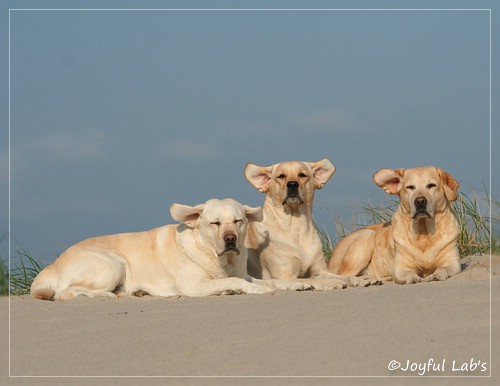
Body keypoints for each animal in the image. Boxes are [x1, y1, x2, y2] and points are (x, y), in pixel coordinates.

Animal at [30, 198, 308, 300]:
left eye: (238, 221)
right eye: (215, 223)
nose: (230, 239)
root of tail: (51, 266)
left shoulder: (243, 273)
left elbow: (271, 281)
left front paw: (295, 285)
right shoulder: (193, 285)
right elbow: (240, 283)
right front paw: (249, 290)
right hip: (112, 262)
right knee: (65, 293)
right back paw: (105, 296)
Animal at [244, 159, 350, 290]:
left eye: (302, 175)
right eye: (281, 176)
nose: (292, 184)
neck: (296, 227)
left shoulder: (321, 271)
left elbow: (344, 276)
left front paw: (359, 280)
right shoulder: (286, 276)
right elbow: (314, 280)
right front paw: (331, 282)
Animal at [328, 166, 460, 284]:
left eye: (431, 185)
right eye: (410, 187)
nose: (420, 201)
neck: (424, 233)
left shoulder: (453, 263)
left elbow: (442, 268)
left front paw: (436, 275)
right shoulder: (400, 268)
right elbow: (409, 273)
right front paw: (413, 278)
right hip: (366, 236)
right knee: (345, 275)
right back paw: (361, 282)